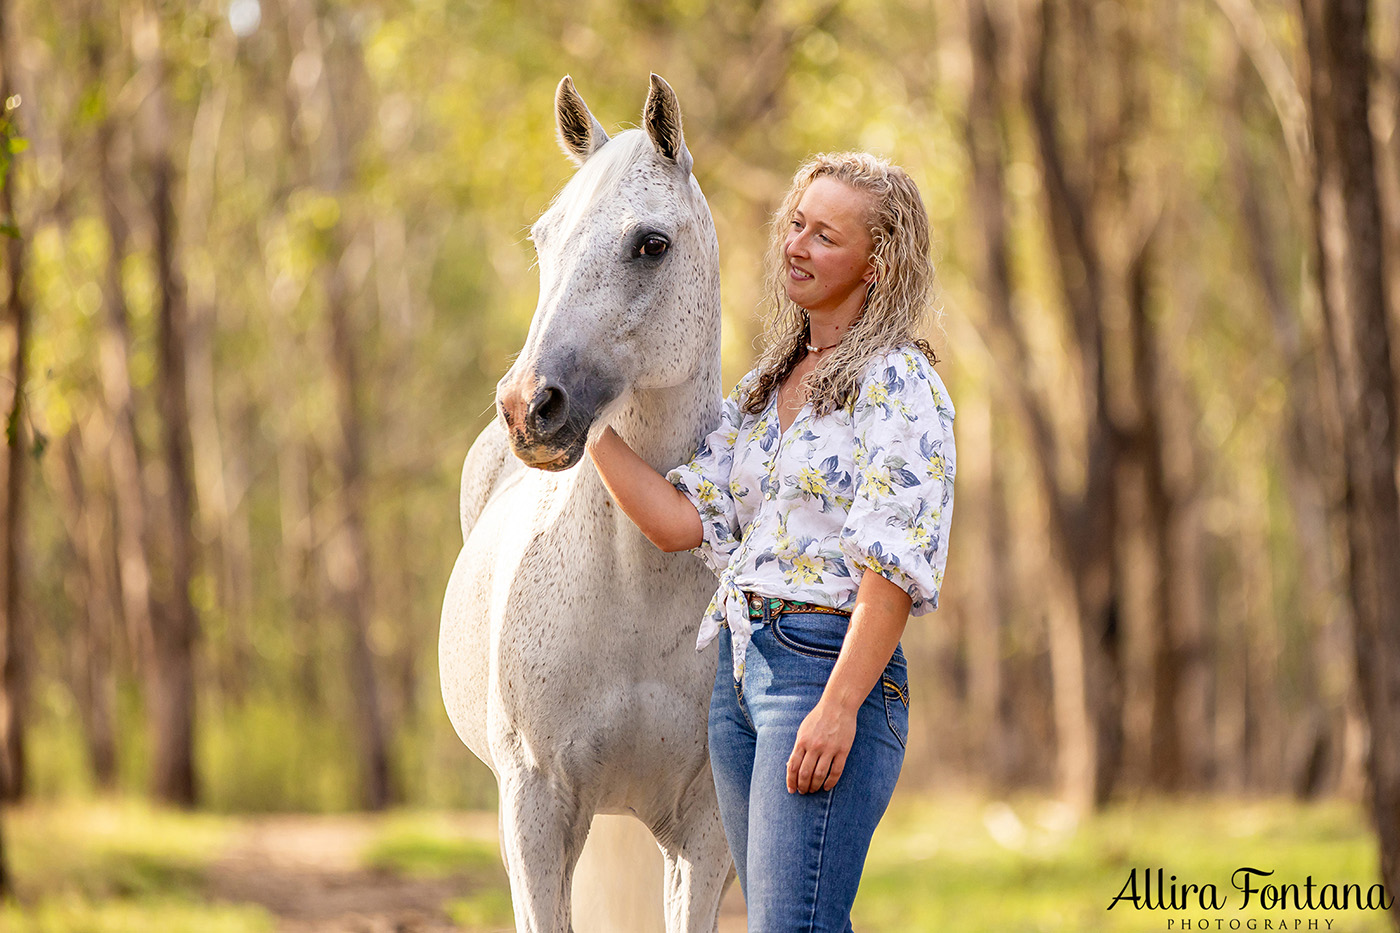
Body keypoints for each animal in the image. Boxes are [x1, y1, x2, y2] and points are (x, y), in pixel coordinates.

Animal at [439, 74, 733, 930]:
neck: (634, 581)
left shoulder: (705, 828)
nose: (529, 406)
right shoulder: (535, 809)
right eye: (544, 238)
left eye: (651, 244)